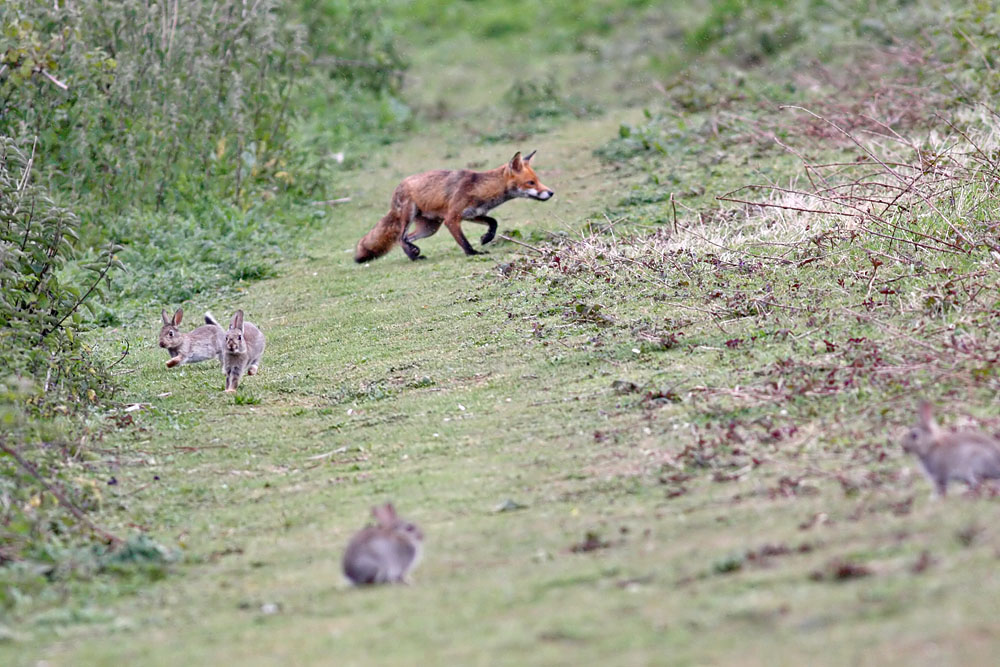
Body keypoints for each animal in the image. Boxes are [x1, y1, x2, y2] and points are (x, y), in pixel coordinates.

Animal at [354, 150, 554, 262]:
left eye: (537, 180)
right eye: (531, 182)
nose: (551, 192)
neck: (481, 189)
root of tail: (398, 186)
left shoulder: (473, 214)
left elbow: (494, 222)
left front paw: (486, 238)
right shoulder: (452, 219)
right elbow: (464, 241)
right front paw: (473, 253)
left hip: (430, 228)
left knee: (407, 237)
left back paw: (414, 253)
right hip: (410, 216)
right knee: (400, 237)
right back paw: (413, 256)